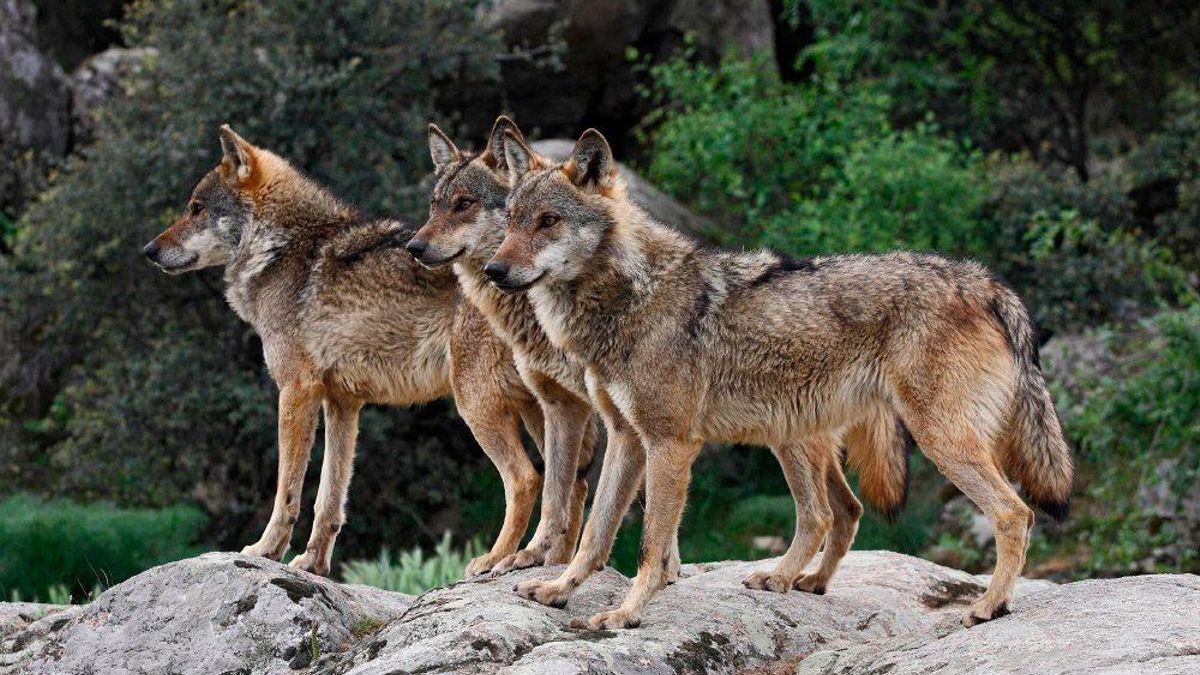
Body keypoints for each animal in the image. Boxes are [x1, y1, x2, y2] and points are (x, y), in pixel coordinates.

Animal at [143, 125, 556, 576]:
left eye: (196, 209)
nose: (149, 250)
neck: (283, 249)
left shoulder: (296, 391)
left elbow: (287, 491)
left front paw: (265, 551)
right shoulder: (343, 403)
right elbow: (330, 497)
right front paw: (313, 563)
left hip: (476, 405)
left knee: (526, 479)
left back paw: (496, 560)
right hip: (538, 410)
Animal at [407, 117, 914, 579]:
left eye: (464, 205)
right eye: (434, 206)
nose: (414, 245)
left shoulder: (634, 418)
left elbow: (621, 499)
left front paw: (656, 569)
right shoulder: (562, 407)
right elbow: (560, 492)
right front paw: (538, 560)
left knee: (828, 509)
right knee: (848, 507)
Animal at [487, 128, 1073, 630]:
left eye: (548, 221)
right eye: (511, 220)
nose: (494, 271)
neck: (631, 295)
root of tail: (986, 282)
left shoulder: (670, 443)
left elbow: (651, 545)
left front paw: (625, 614)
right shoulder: (627, 437)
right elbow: (596, 531)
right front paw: (557, 589)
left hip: (934, 440)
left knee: (1014, 513)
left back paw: (989, 606)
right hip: (794, 434)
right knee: (828, 515)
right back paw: (795, 580)